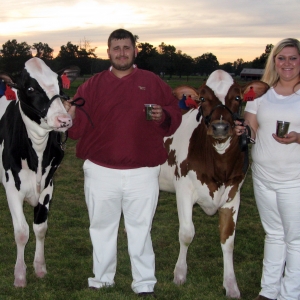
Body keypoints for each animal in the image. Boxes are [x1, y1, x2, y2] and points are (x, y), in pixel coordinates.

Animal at [0, 56, 76, 286]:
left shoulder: (48, 185)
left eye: (60, 85)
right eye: (31, 88)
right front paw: (20, 275)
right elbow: (22, 232)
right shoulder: (12, 186)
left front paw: (40, 267)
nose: (64, 120)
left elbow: (40, 228)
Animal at [158, 69, 268, 298]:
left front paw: (231, 285)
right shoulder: (183, 189)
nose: (220, 127)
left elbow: (228, 240)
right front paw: (179, 274)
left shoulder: (233, 195)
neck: (218, 162)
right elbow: (186, 233)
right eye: (202, 98)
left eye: (238, 98)